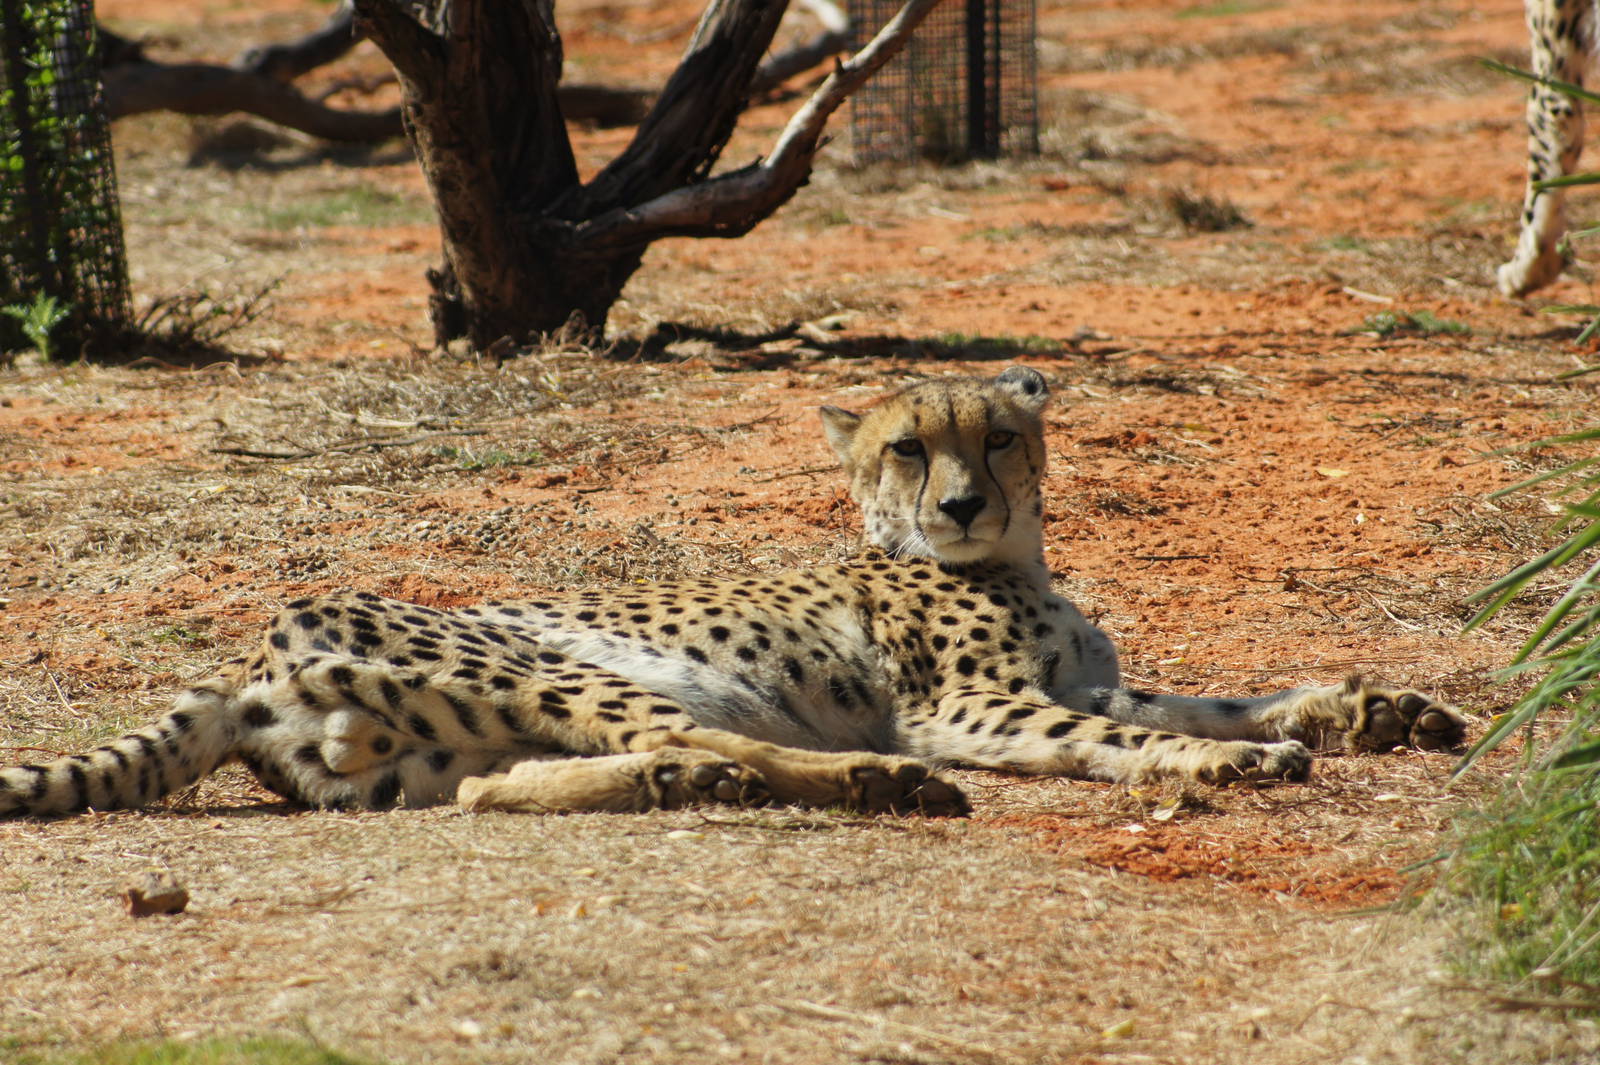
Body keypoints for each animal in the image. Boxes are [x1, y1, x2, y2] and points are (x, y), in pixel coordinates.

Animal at [0, 366, 1466, 820]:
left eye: (998, 436)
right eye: (907, 448)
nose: (961, 506)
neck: (1012, 561)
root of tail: (248, 665)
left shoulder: (1087, 675)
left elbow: (1210, 694)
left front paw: (1363, 708)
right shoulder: (969, 710)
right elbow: (1117, 733)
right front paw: (1225, 766)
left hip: (430, 755)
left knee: (492, 789)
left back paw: (682, 785)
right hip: (556, 663)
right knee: (717, 738)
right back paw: (861, 782)